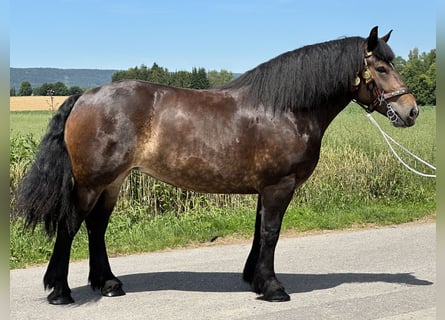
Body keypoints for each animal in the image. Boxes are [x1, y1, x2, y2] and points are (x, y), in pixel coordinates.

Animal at [13, 26, 416, 304]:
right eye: (381, 68)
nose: (410, 110)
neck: (285, 109)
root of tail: (84, 97)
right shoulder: (279, 186)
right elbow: (271, 233)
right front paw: (273, 288)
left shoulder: (265, 188)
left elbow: (259, 233)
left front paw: (255, 279)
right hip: (91, 182)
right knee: (70, 226)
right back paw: (60, 292)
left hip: (112, 182)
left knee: (96, 227)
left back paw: (108, 283)